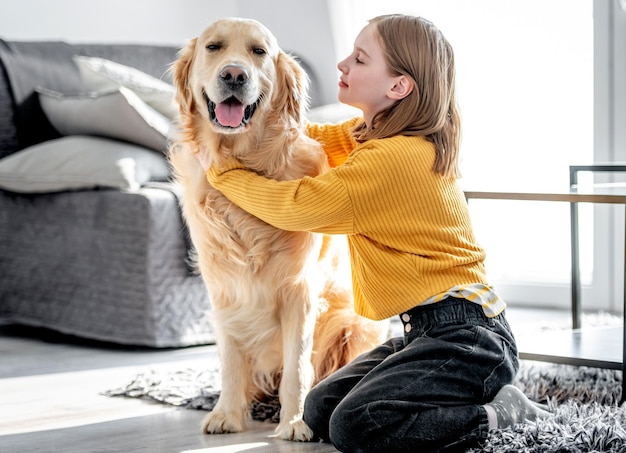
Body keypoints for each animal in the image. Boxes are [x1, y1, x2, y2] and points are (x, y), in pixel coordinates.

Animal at [168, 16, 388, 438]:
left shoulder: (298, 290)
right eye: (213, 47)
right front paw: (227, 413)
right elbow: (230, 359)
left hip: (353, 324)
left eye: (259, 51)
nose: (234, 75)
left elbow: (297, 367)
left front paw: (296, 421)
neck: (243, 157)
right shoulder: (223, 289)